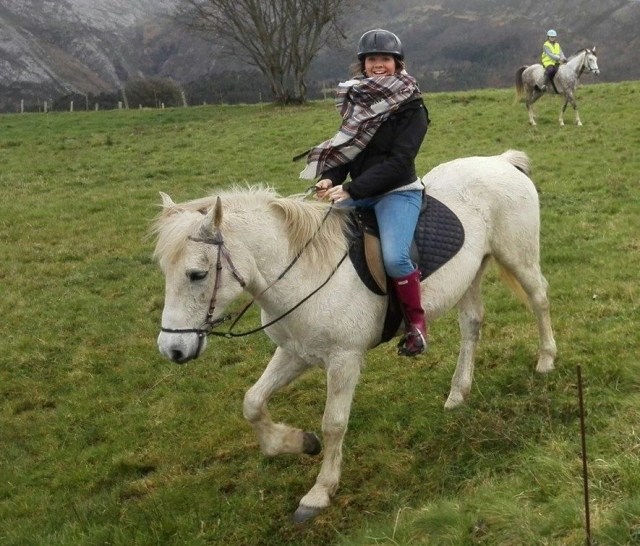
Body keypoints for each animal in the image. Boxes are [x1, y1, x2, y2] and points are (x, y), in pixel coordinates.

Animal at [153, 150, 557, 523]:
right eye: (164, 270)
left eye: (197, 274)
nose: (172, 349)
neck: (304, 270)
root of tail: (499, 160)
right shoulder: (295, 352)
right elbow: (252, 402)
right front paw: (300, 442)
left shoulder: (344, 359)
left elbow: (333, 423)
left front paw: (319, 492)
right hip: (470, 275)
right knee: (471, 326)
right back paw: (458, 393)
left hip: (518, 256)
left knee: (539, 299)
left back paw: (546, 360)